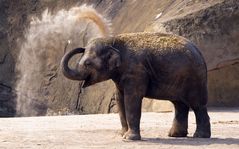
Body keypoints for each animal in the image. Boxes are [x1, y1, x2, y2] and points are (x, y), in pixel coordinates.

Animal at [61, 32, 211, 141]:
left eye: (87, 63)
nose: (80, 47)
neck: (113, 40)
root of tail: (199, 51)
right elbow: (120, 100)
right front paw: (123, 135)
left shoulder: (135, 72)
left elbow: (132, 99)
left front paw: (129, 138)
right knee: (180, 104)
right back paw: (175, 135)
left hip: (194, 78)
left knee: (197, 104)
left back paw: (200, 136)